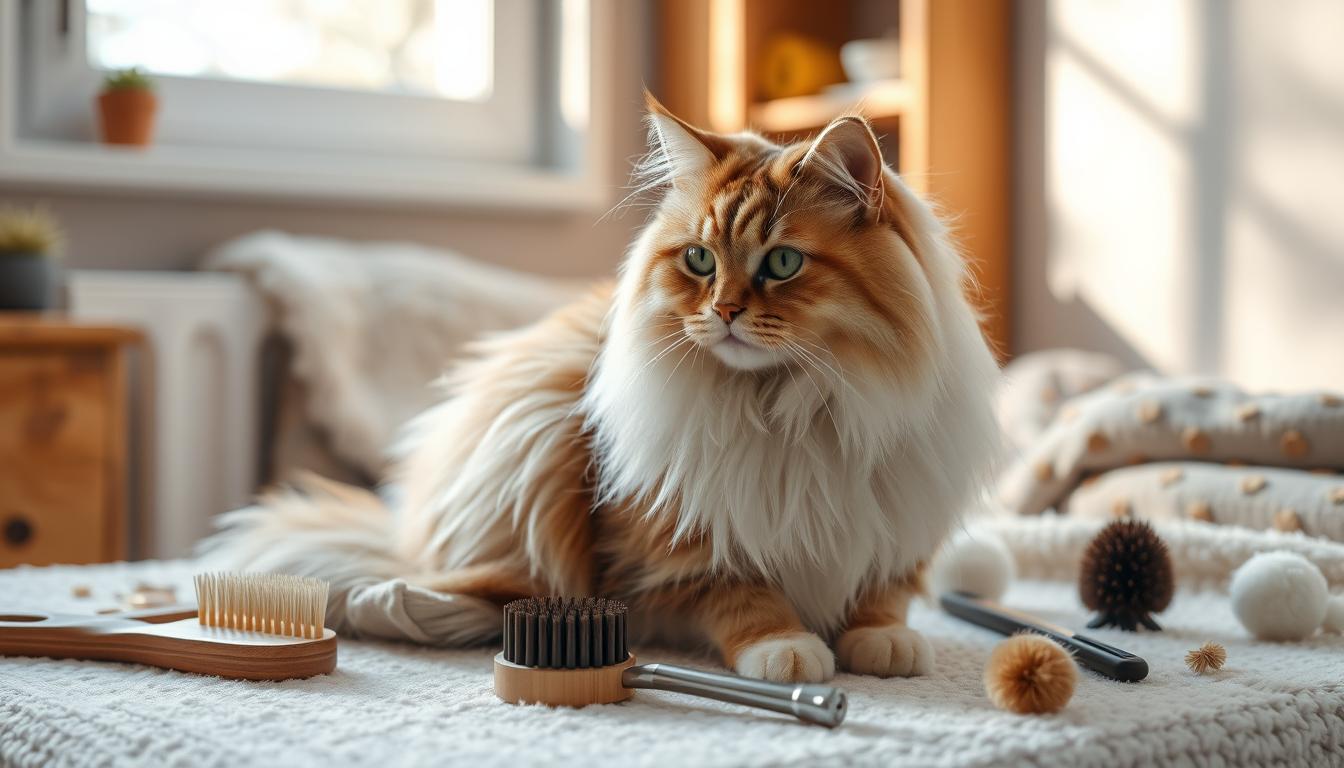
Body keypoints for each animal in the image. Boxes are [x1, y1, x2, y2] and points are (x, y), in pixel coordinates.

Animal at [206, 97, 999, 685]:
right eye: (699, 260)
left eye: (782, 263)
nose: (724, 313)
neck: (790, 408)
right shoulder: (670, 545)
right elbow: (742, 595)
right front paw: (788, 649)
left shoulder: (900, 521)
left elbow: (884, 595)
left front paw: (882, 641)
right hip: (538, 445)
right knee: (480, 585)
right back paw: (404, 606)